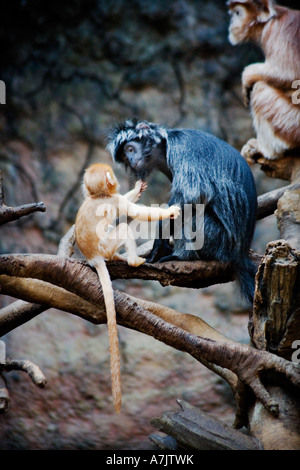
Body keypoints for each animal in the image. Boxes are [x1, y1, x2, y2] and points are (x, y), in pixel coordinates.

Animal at [74, 163, 179, 414]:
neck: (99, 196)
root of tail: (93, 258)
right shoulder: (113, 200)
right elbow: (135, 212)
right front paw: (171, 211)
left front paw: (137, 188)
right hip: (107, 245)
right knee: (123, 229)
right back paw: (132, 261)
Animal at [107, 119, 258, 304]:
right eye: (124, 157)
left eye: (130, 149)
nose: (129, 159)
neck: (164, 147)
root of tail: (239, 254)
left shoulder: (182, 149)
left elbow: (193, 195)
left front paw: (159, 242)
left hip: (217, 239)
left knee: (192, 215)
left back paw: (182, 256)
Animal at [229, 0, 298, 160]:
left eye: (237, 13)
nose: (231, 22)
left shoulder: (277, 30)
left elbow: (289, 74)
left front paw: (247, 75)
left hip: (292, 124)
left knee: (261, 89)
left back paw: (267, 150)